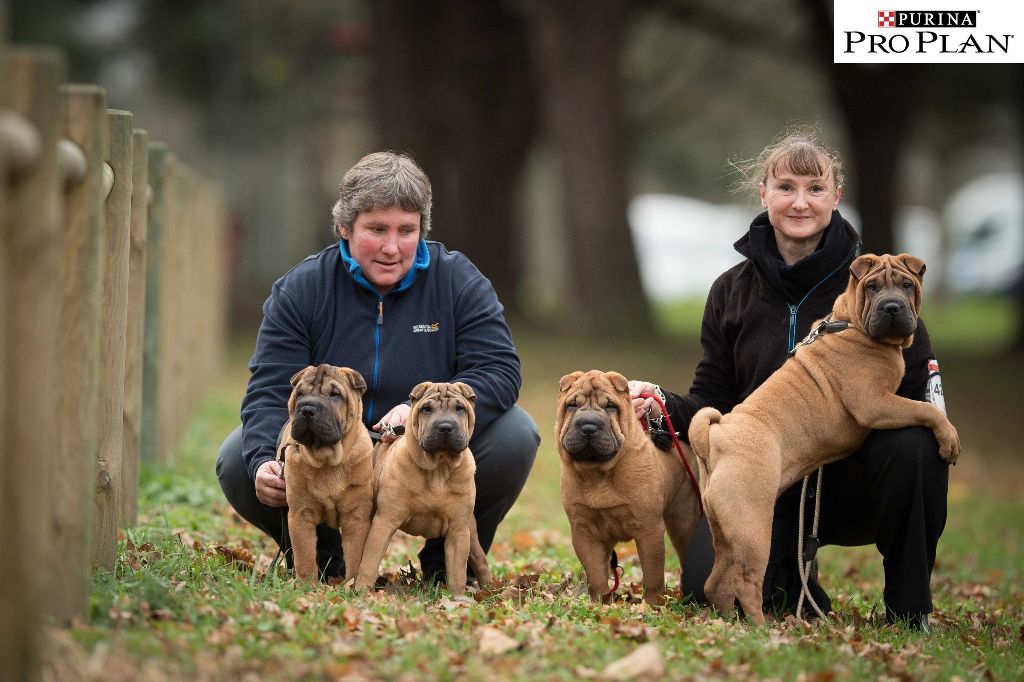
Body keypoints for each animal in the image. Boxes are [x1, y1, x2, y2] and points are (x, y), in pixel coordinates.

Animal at [278, 364, 374, 581]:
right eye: (300, 394)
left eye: (335, 395)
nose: (307, 409)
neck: (327, 461)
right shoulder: (300, 514)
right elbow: (304, 557)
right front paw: (307, 585)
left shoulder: (357, 518)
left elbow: (356, 558)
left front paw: (353, 585)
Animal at [356, 378, 491, 593]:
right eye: (426, 409)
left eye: (460, 408)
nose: (445, 427)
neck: (438, 468)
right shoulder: (385, 521)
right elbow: (369, 561)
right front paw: (361, 591)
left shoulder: (458, 531)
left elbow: (457, 571)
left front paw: (457, 596)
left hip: (471, 530)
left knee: (480, 560)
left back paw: (490, 590)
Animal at [557, 372, 700, 602]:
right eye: (572, 405)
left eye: (610, 406)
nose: (588, 426)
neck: (598, 473)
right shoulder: (584, 532)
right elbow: (595, 574)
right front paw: (599, 603)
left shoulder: (649, 528)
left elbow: (652, 575)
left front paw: (652, 605)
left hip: (683, 518)